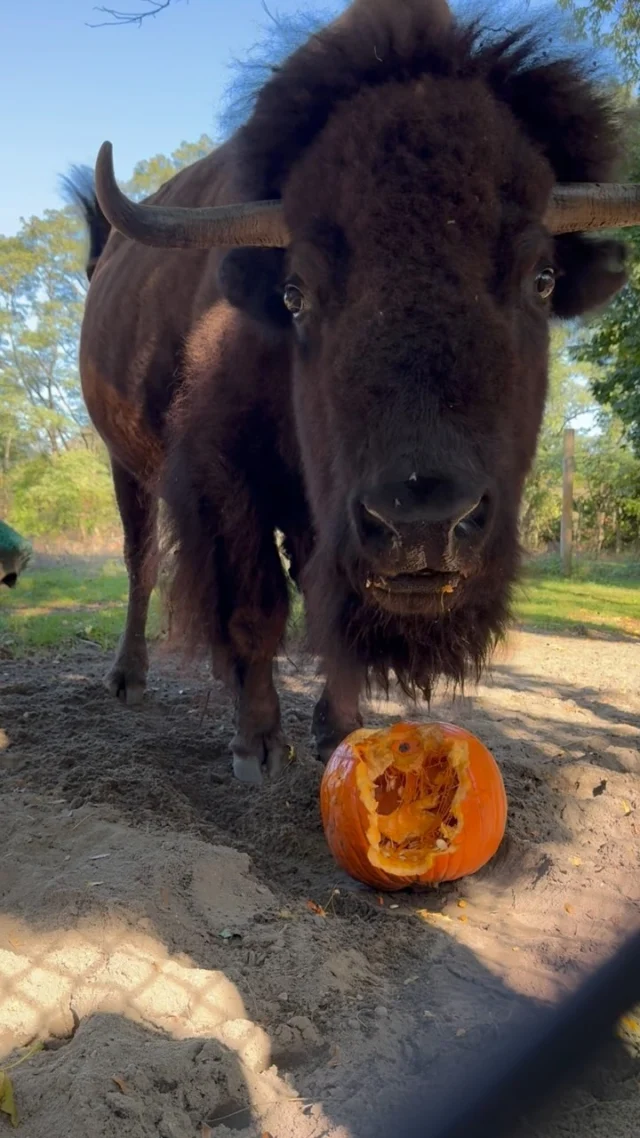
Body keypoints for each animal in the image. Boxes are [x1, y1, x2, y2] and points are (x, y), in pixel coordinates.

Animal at [68, 0, 637, 782]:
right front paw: (257, 746)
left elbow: (322, 600)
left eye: (543, 278)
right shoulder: (224, 477)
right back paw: (129, 678)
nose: (425, 520)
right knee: (141, 561)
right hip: (127, 465)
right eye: (295, 292)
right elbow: (255, 606)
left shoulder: (324, 514)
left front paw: (337, 726)